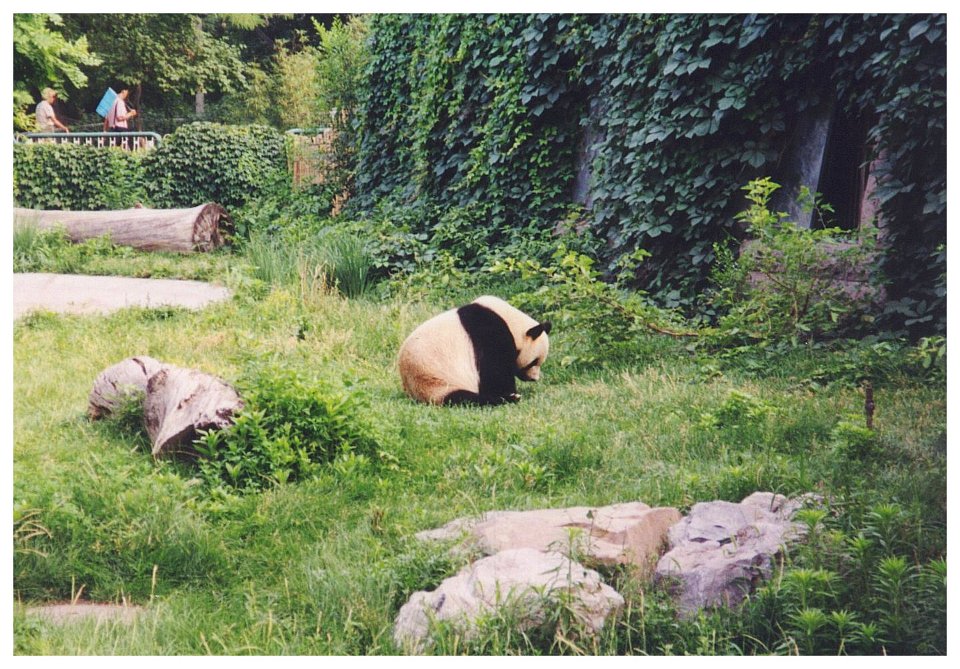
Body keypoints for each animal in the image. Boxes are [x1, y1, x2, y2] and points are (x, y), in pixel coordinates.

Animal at [398, 295, 552, 406]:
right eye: (534, 362)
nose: (534, 378)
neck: (509, 320)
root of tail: (413, 393)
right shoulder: (488, 333)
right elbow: (494, 371)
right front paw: (510, 393)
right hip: (438, 383)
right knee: (463, 398)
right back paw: (506, 399)